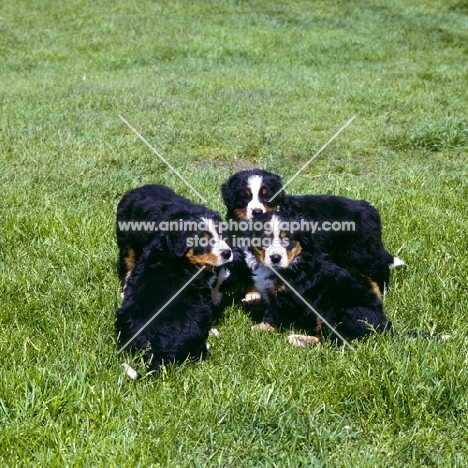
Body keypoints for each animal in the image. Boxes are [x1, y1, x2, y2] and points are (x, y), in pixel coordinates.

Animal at [221, 168, 404, 294]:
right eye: (245, 196)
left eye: (267, 196)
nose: (257, 212)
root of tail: (368, 208)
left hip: (360, 251)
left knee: (378, 270)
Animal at [245, 211, 392, 344]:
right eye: (265, 239)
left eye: (287, 240)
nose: (275, 258)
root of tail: (384, 324)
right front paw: (250, 302)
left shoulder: (289, 296)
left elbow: (273, 313)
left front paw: (259, 328)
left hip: (335, 310)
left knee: (333, 340)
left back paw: (297, 339)